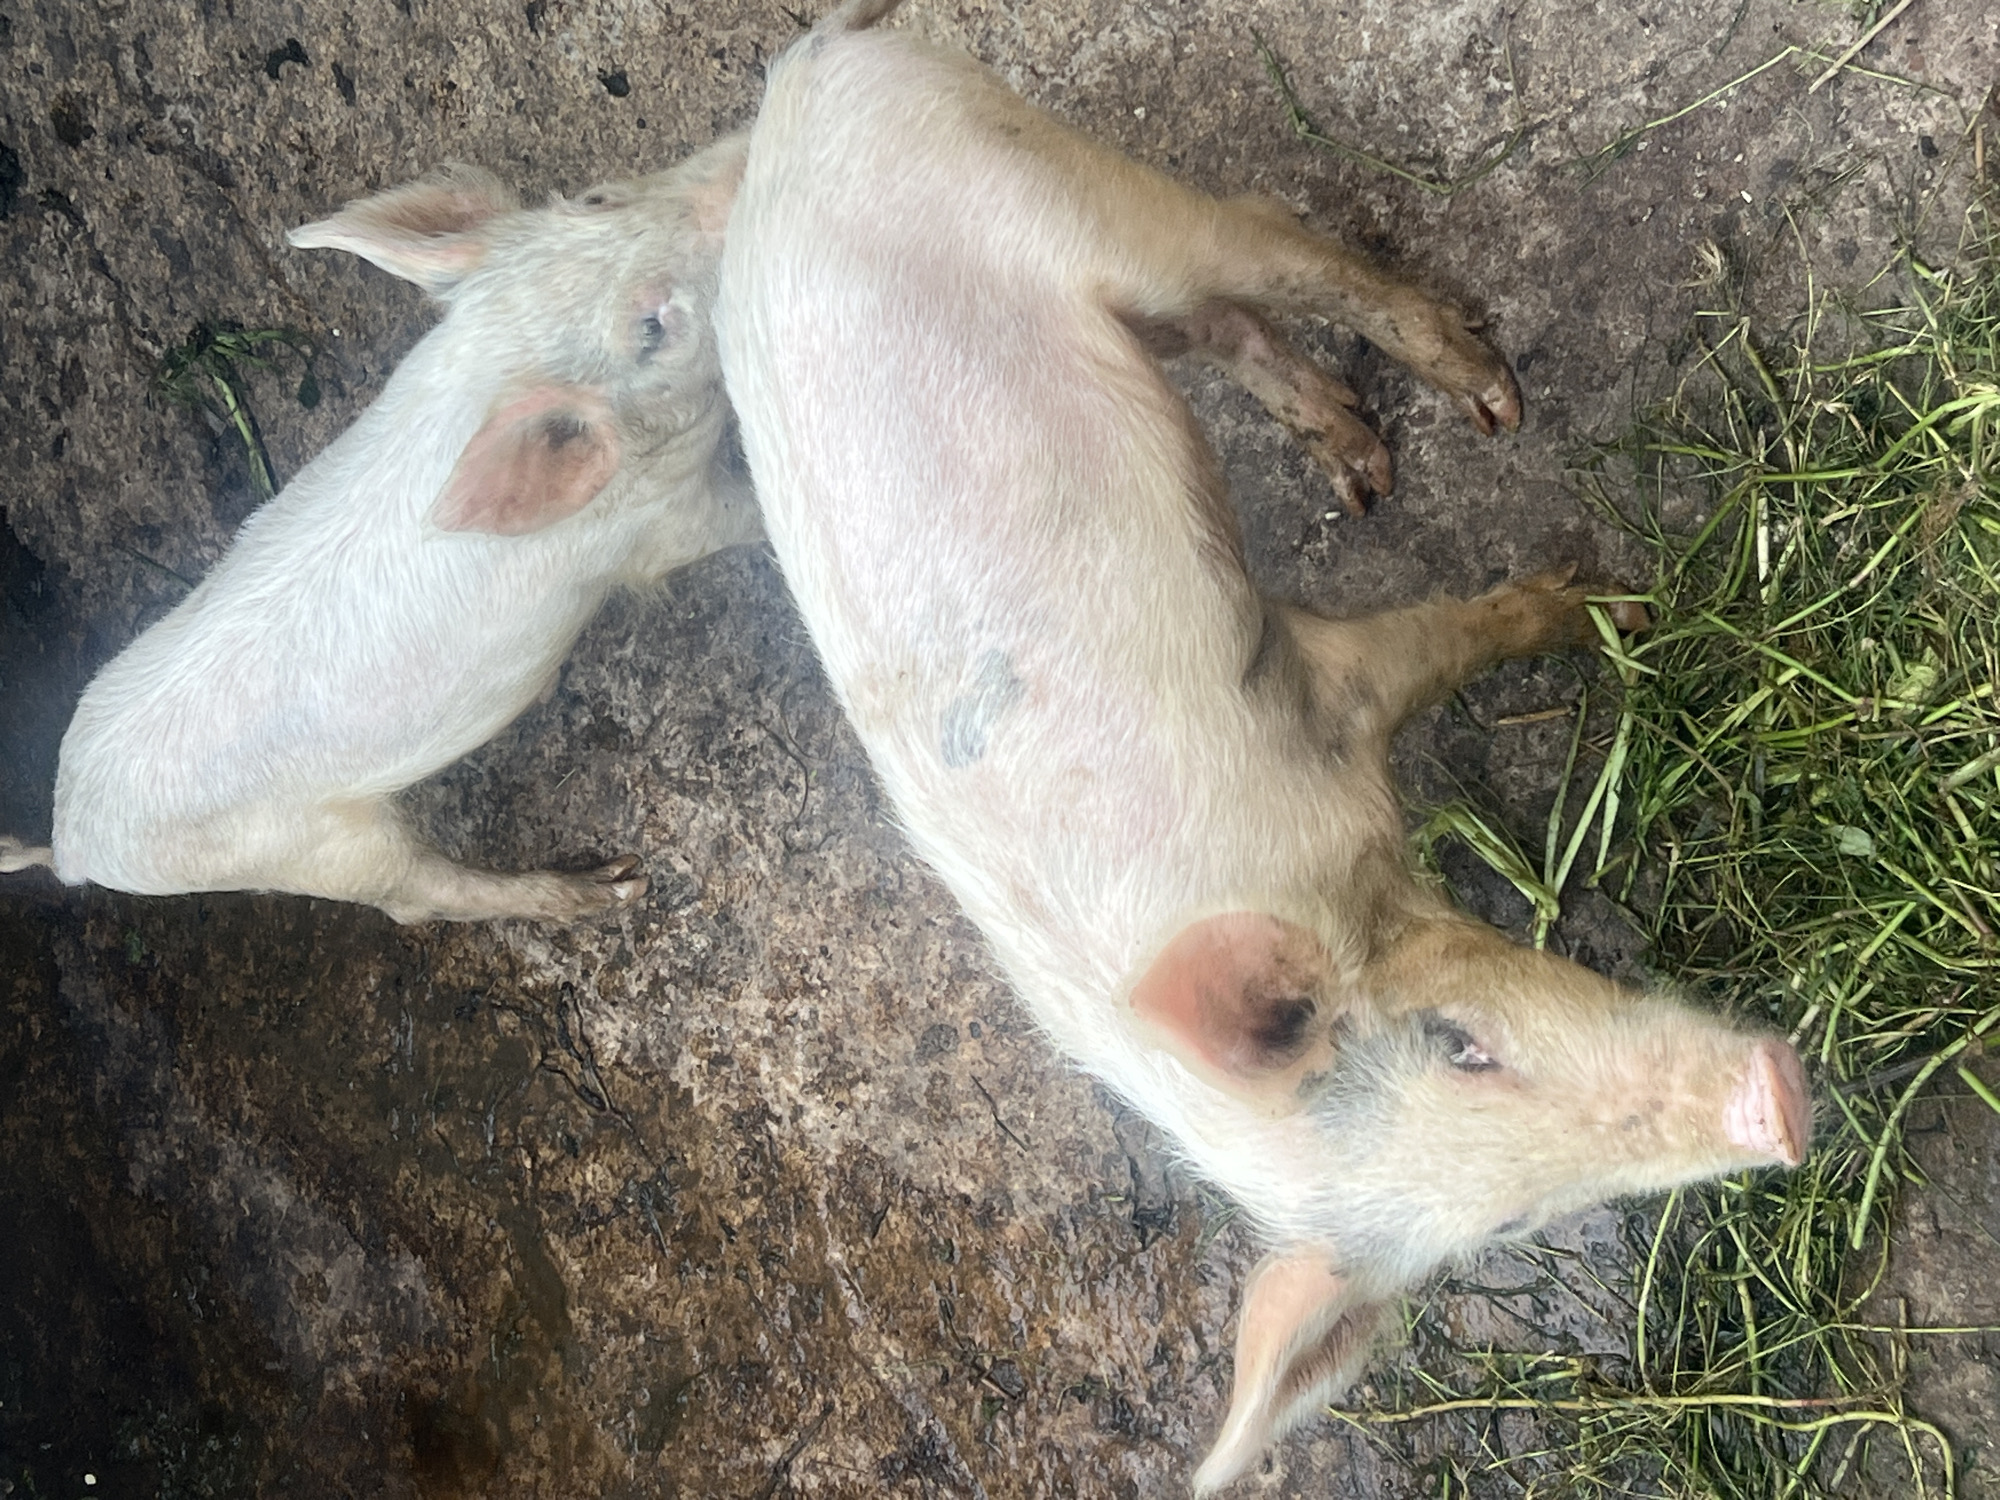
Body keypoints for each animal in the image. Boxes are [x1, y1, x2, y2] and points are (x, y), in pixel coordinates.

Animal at [0, 141, 760, 922]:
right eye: (651, 328)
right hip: (326, 852)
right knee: (420, 897)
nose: (746, 160)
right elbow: (731, 520)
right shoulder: (654, 526)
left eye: (596, 199)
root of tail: (72, 846)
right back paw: (617, 885)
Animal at [716, 5, 1810, 1491]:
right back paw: (1363, 471)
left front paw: (1623, 609)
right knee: (1214, 323)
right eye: (1512, 1229)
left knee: (1262, 240)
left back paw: (1487, 408)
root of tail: (799, 84)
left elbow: (1455, 635)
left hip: (1049, 182)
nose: (1777, 1102)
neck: (1322, 890)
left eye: (1465, 1042)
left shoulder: (1319, 692)